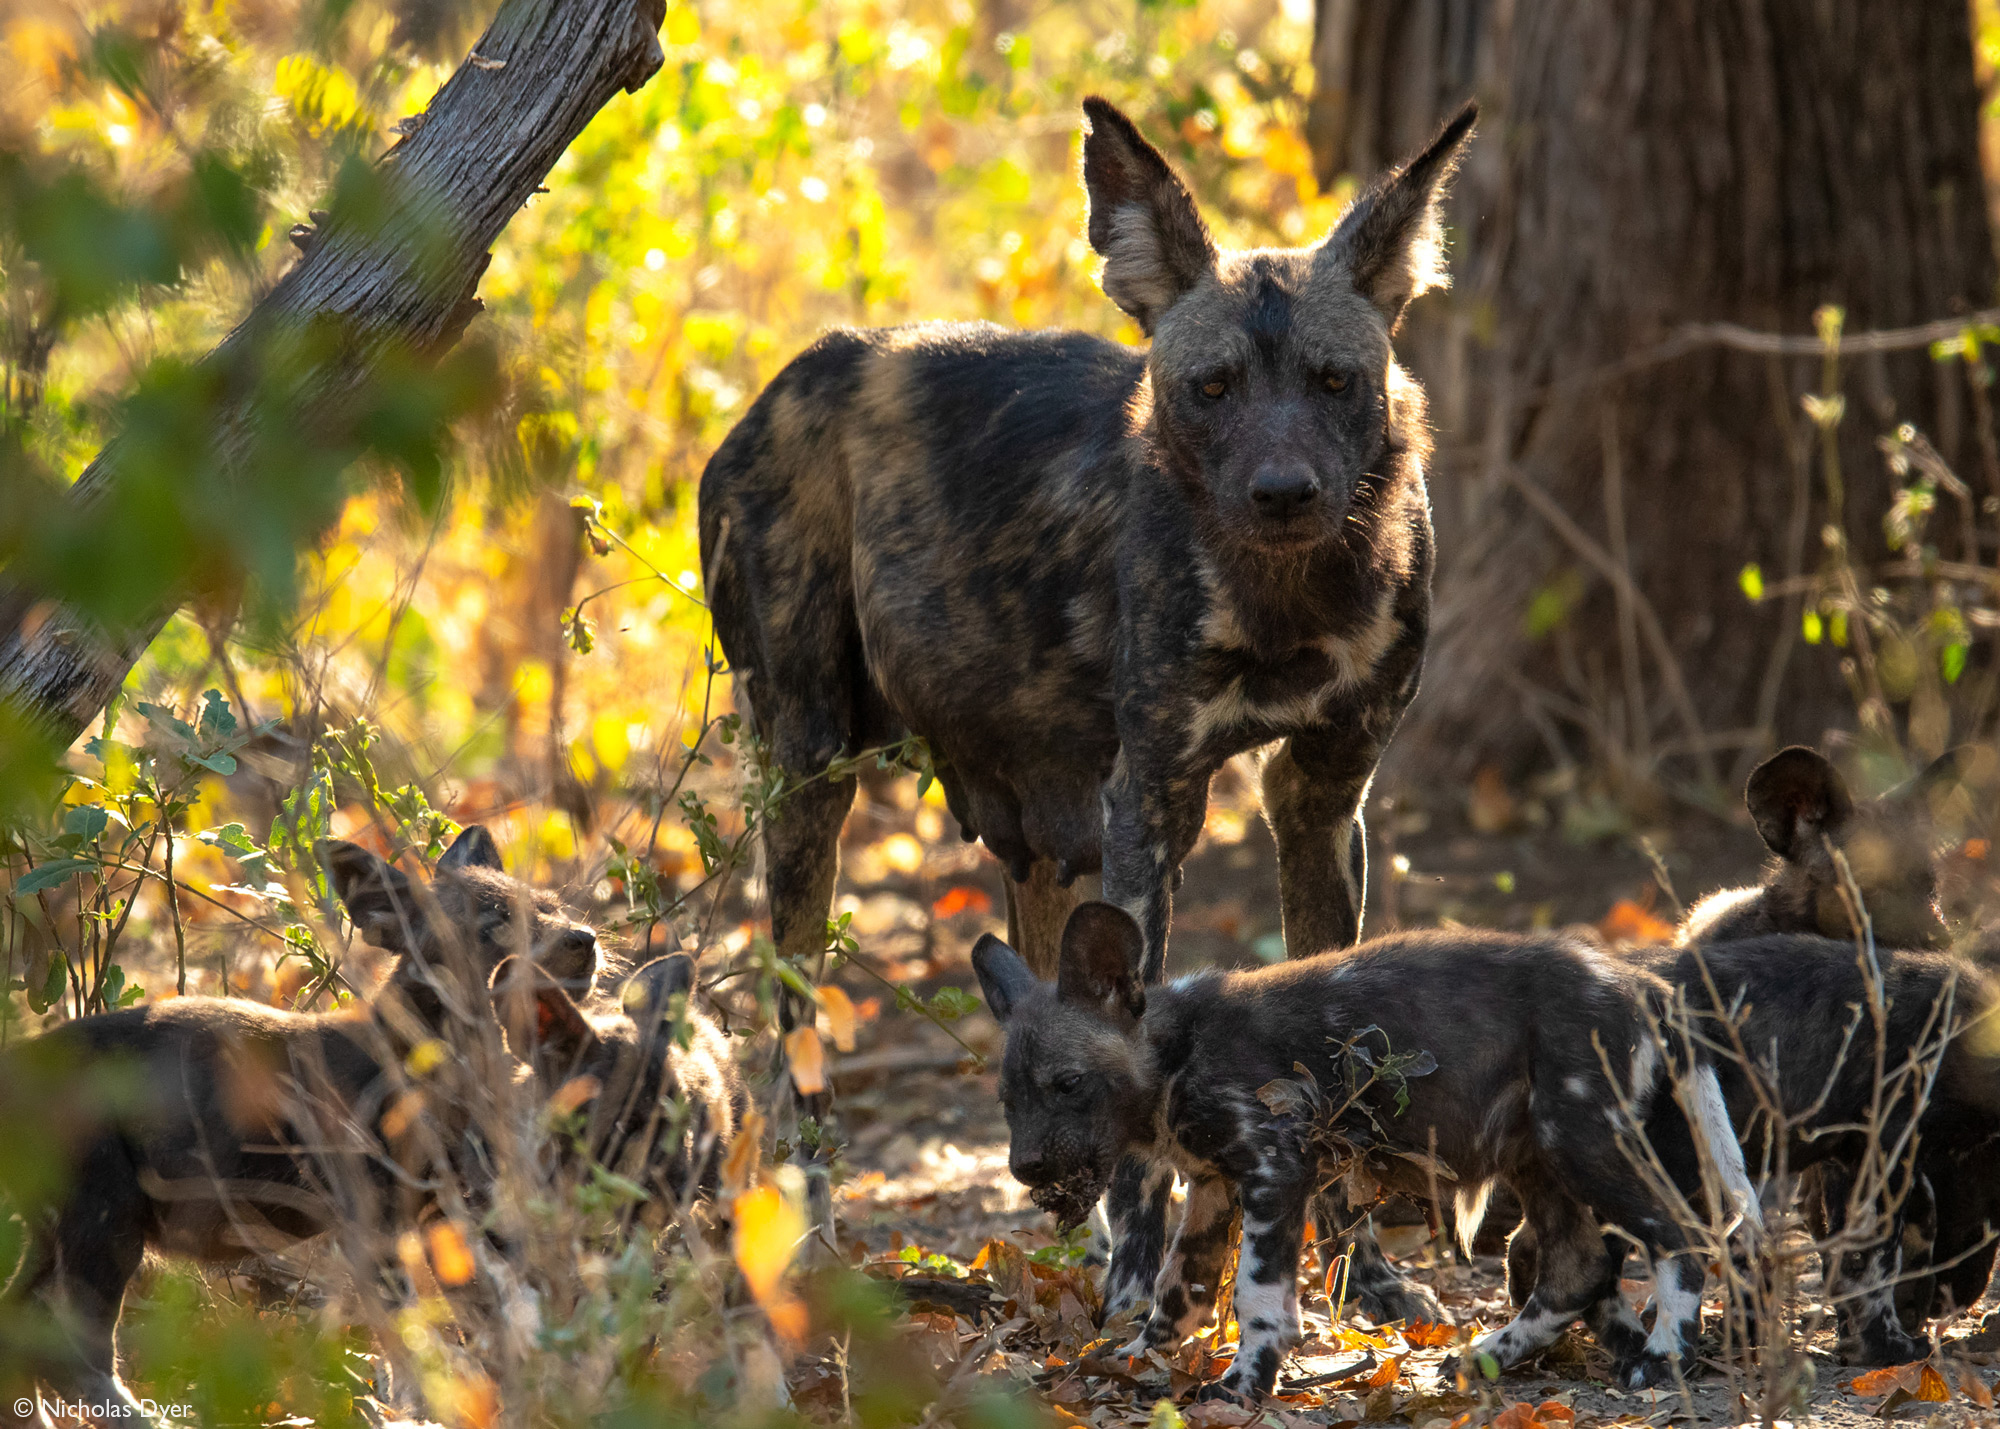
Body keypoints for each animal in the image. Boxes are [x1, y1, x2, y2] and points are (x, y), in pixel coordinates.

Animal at [0, 824, 600, 1416]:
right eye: (495, 922)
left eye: (550, 906)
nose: (584, 939)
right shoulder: (371, 1225)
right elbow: (413, 1347)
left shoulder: (451, 1214)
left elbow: (499, 1327)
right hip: (106, 1224)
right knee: (77, 1359)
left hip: (58, 1234)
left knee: (23, 1332)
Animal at [968, 900, 1752, 1392]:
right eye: (1009, 1102)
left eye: (1069, 1083)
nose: (1025, 1167)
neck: (1174, 1055)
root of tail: (1642, 983)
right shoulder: (1215, 1187)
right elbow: (1177, 1294)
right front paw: (1130, 1363)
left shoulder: (1275, 1169)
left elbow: (1257, 1297)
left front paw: (1244, 1385)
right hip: (1538, 1156)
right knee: (1577, 1266)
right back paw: (1482, 1362)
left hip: (1585, 1142)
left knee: (1682, 1235)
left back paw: (1662, 1361)